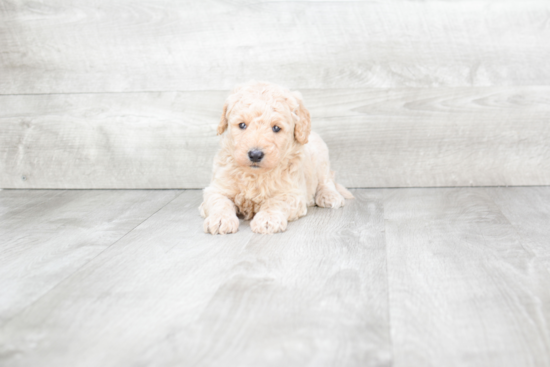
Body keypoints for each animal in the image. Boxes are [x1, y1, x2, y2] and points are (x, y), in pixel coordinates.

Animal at [199, 81, 354, 236]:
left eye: (276, 128)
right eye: (242, 125)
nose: (255, 154)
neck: (255, 175)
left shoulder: (292, 193)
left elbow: (275, 203)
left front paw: (268, 220)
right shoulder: (217, 187)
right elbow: (219, 201)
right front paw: (220, 219)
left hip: (322, 158)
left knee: (326, 180)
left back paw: (329, 196)